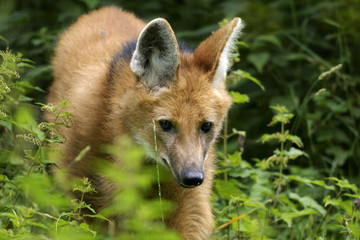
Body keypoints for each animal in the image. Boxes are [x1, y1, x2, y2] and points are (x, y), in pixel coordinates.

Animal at [46, 6, 243, 239]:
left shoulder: (185, 200)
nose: (193, 178)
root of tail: (106, 9)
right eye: (166, 124)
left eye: (206, 126)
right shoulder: (88, 193)